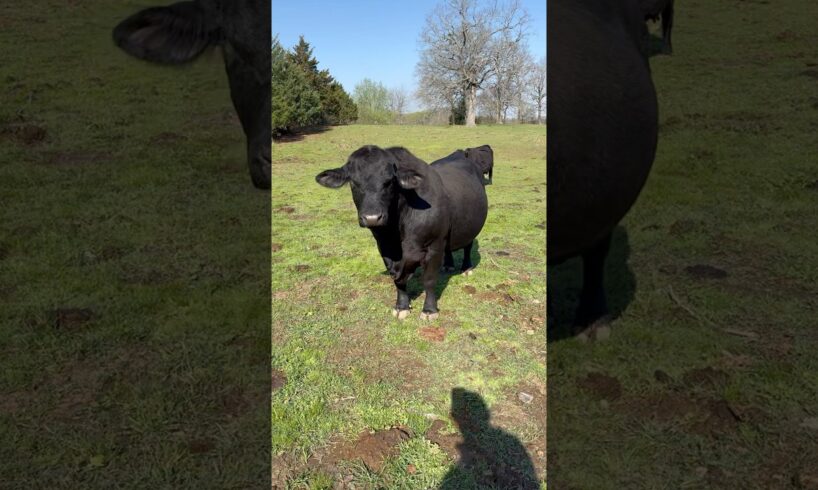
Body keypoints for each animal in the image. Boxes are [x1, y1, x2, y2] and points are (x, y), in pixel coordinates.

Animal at [316, 145, 489, 320]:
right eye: (353, 182)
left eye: (389, 181)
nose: (372, 218)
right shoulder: (385, 249)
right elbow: (397, 280)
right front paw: (402, 306)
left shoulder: (435, 245)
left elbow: (429, 279)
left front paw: (429, 310)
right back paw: (448, 265)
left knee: (468, 246)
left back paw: (466, 268)